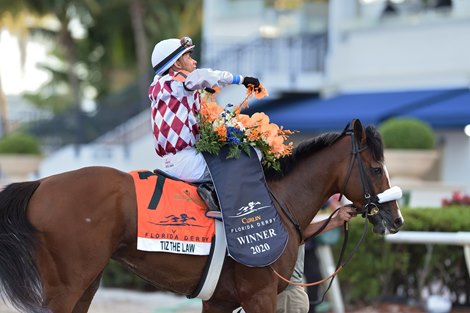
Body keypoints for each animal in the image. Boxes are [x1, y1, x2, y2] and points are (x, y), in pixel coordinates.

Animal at [0, 119, 404, 312]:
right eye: (376, 167)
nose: (396, 218)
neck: (276, 201)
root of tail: (40, 184)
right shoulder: (259, 296)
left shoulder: (220, 301)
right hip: (66, 287)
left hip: (86, 284)